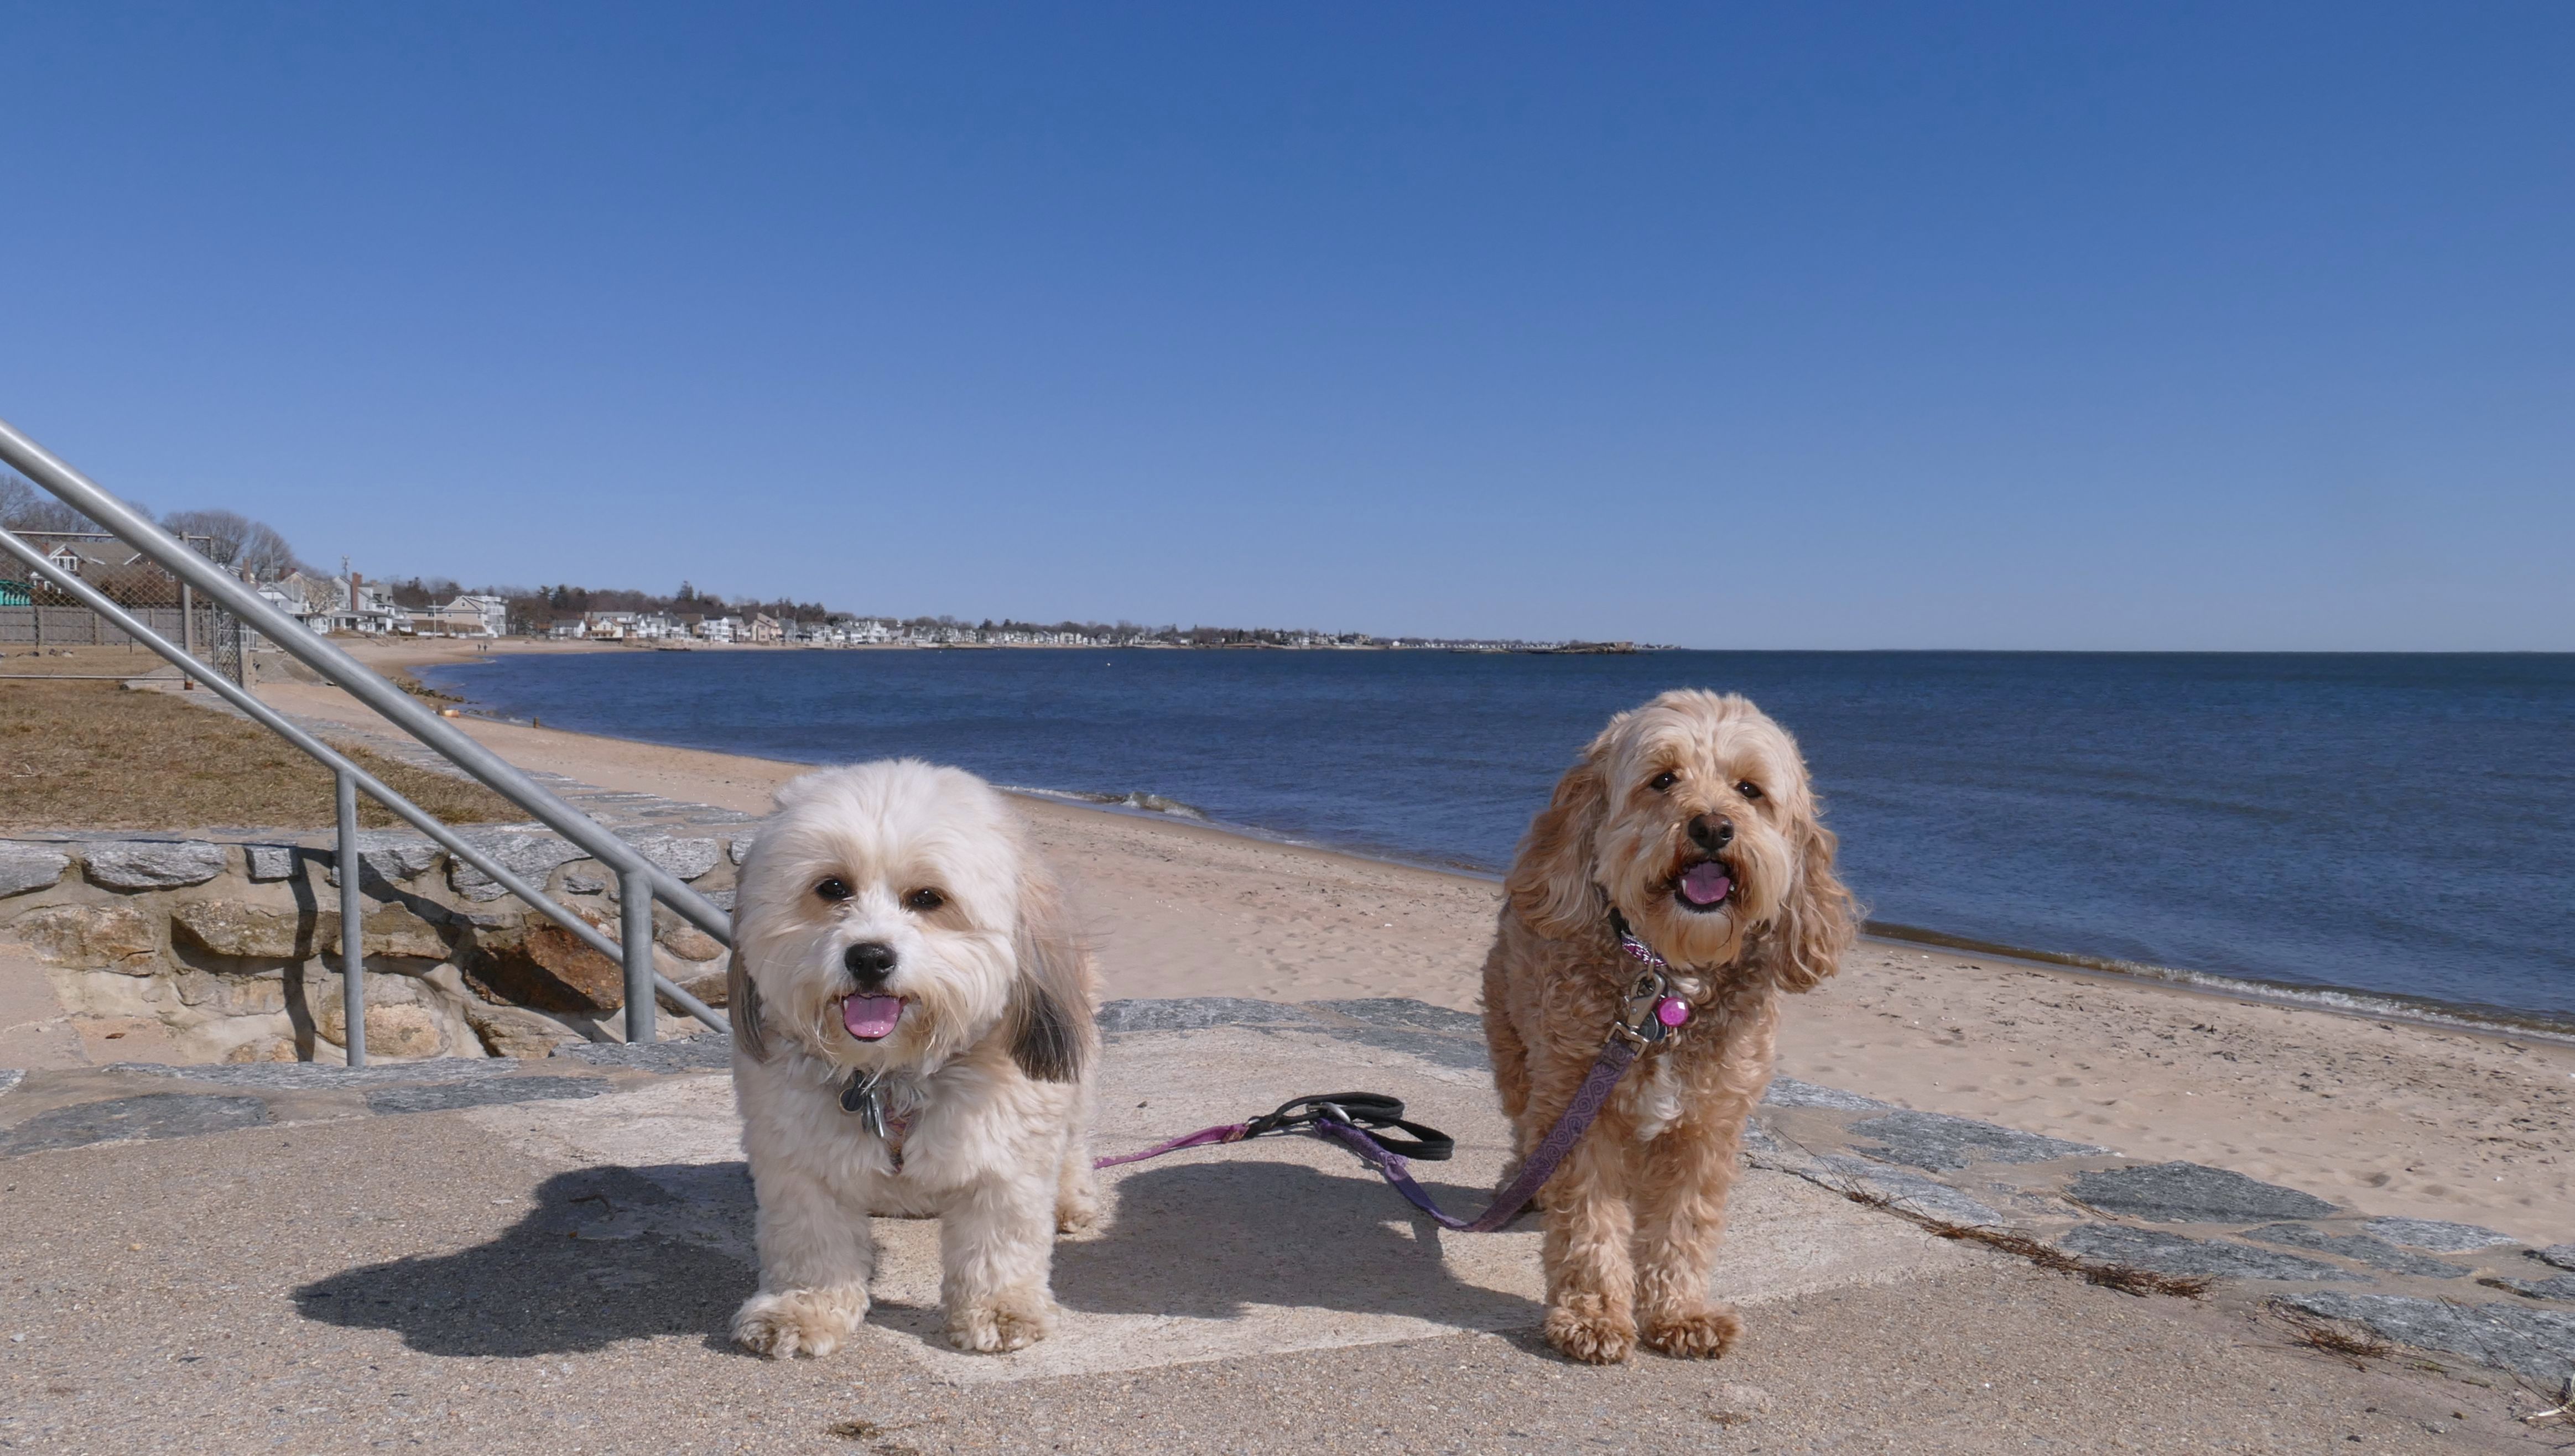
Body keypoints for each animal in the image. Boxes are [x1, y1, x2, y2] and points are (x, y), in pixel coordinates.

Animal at [726, 759, 1100, 1358]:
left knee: (1076, 1140)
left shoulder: (1008, 1152)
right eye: (832, 887)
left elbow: (1001, 1237)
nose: (869, 957)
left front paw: (1000, 1307)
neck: (891, 1076)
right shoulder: (797, 1155)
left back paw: (1070, 1199)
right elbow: (809, 1238)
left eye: (928, 897)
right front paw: (802, 1308)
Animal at [1482, 690, 1856, 1364]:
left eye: (1749, 789)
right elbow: (1588, 1222)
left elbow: (1684, 1224)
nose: (1711, 827)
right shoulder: (1583, 1113)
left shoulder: (1705, 1124)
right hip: (1516, 1051)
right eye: (1662, 779)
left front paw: (1679, 1311)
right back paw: (1523, 1186)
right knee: (1527, 1128)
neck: (1668, 984)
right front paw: (1594, 1315)